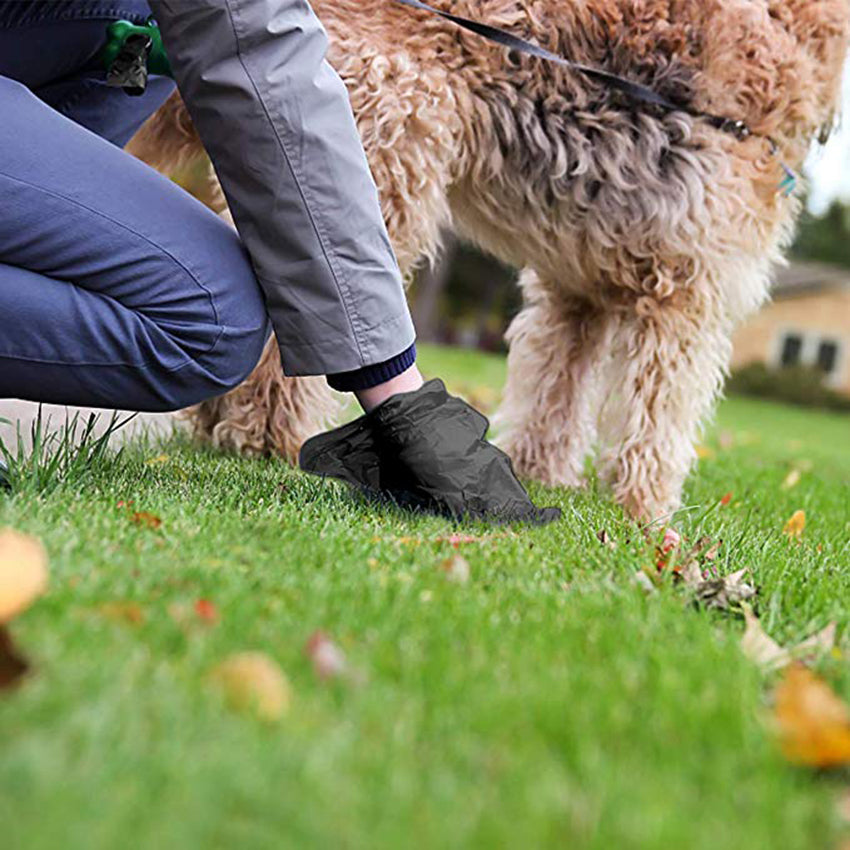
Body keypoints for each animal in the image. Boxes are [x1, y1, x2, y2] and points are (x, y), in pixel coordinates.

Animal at [127, 1, 848, 516]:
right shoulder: (687, 293)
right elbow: (659, 418)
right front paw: (647, 513)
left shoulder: (577, 292)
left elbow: (554, 396)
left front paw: (543, 474)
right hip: (377, 162)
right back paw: (264, 435)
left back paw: (225, 426)